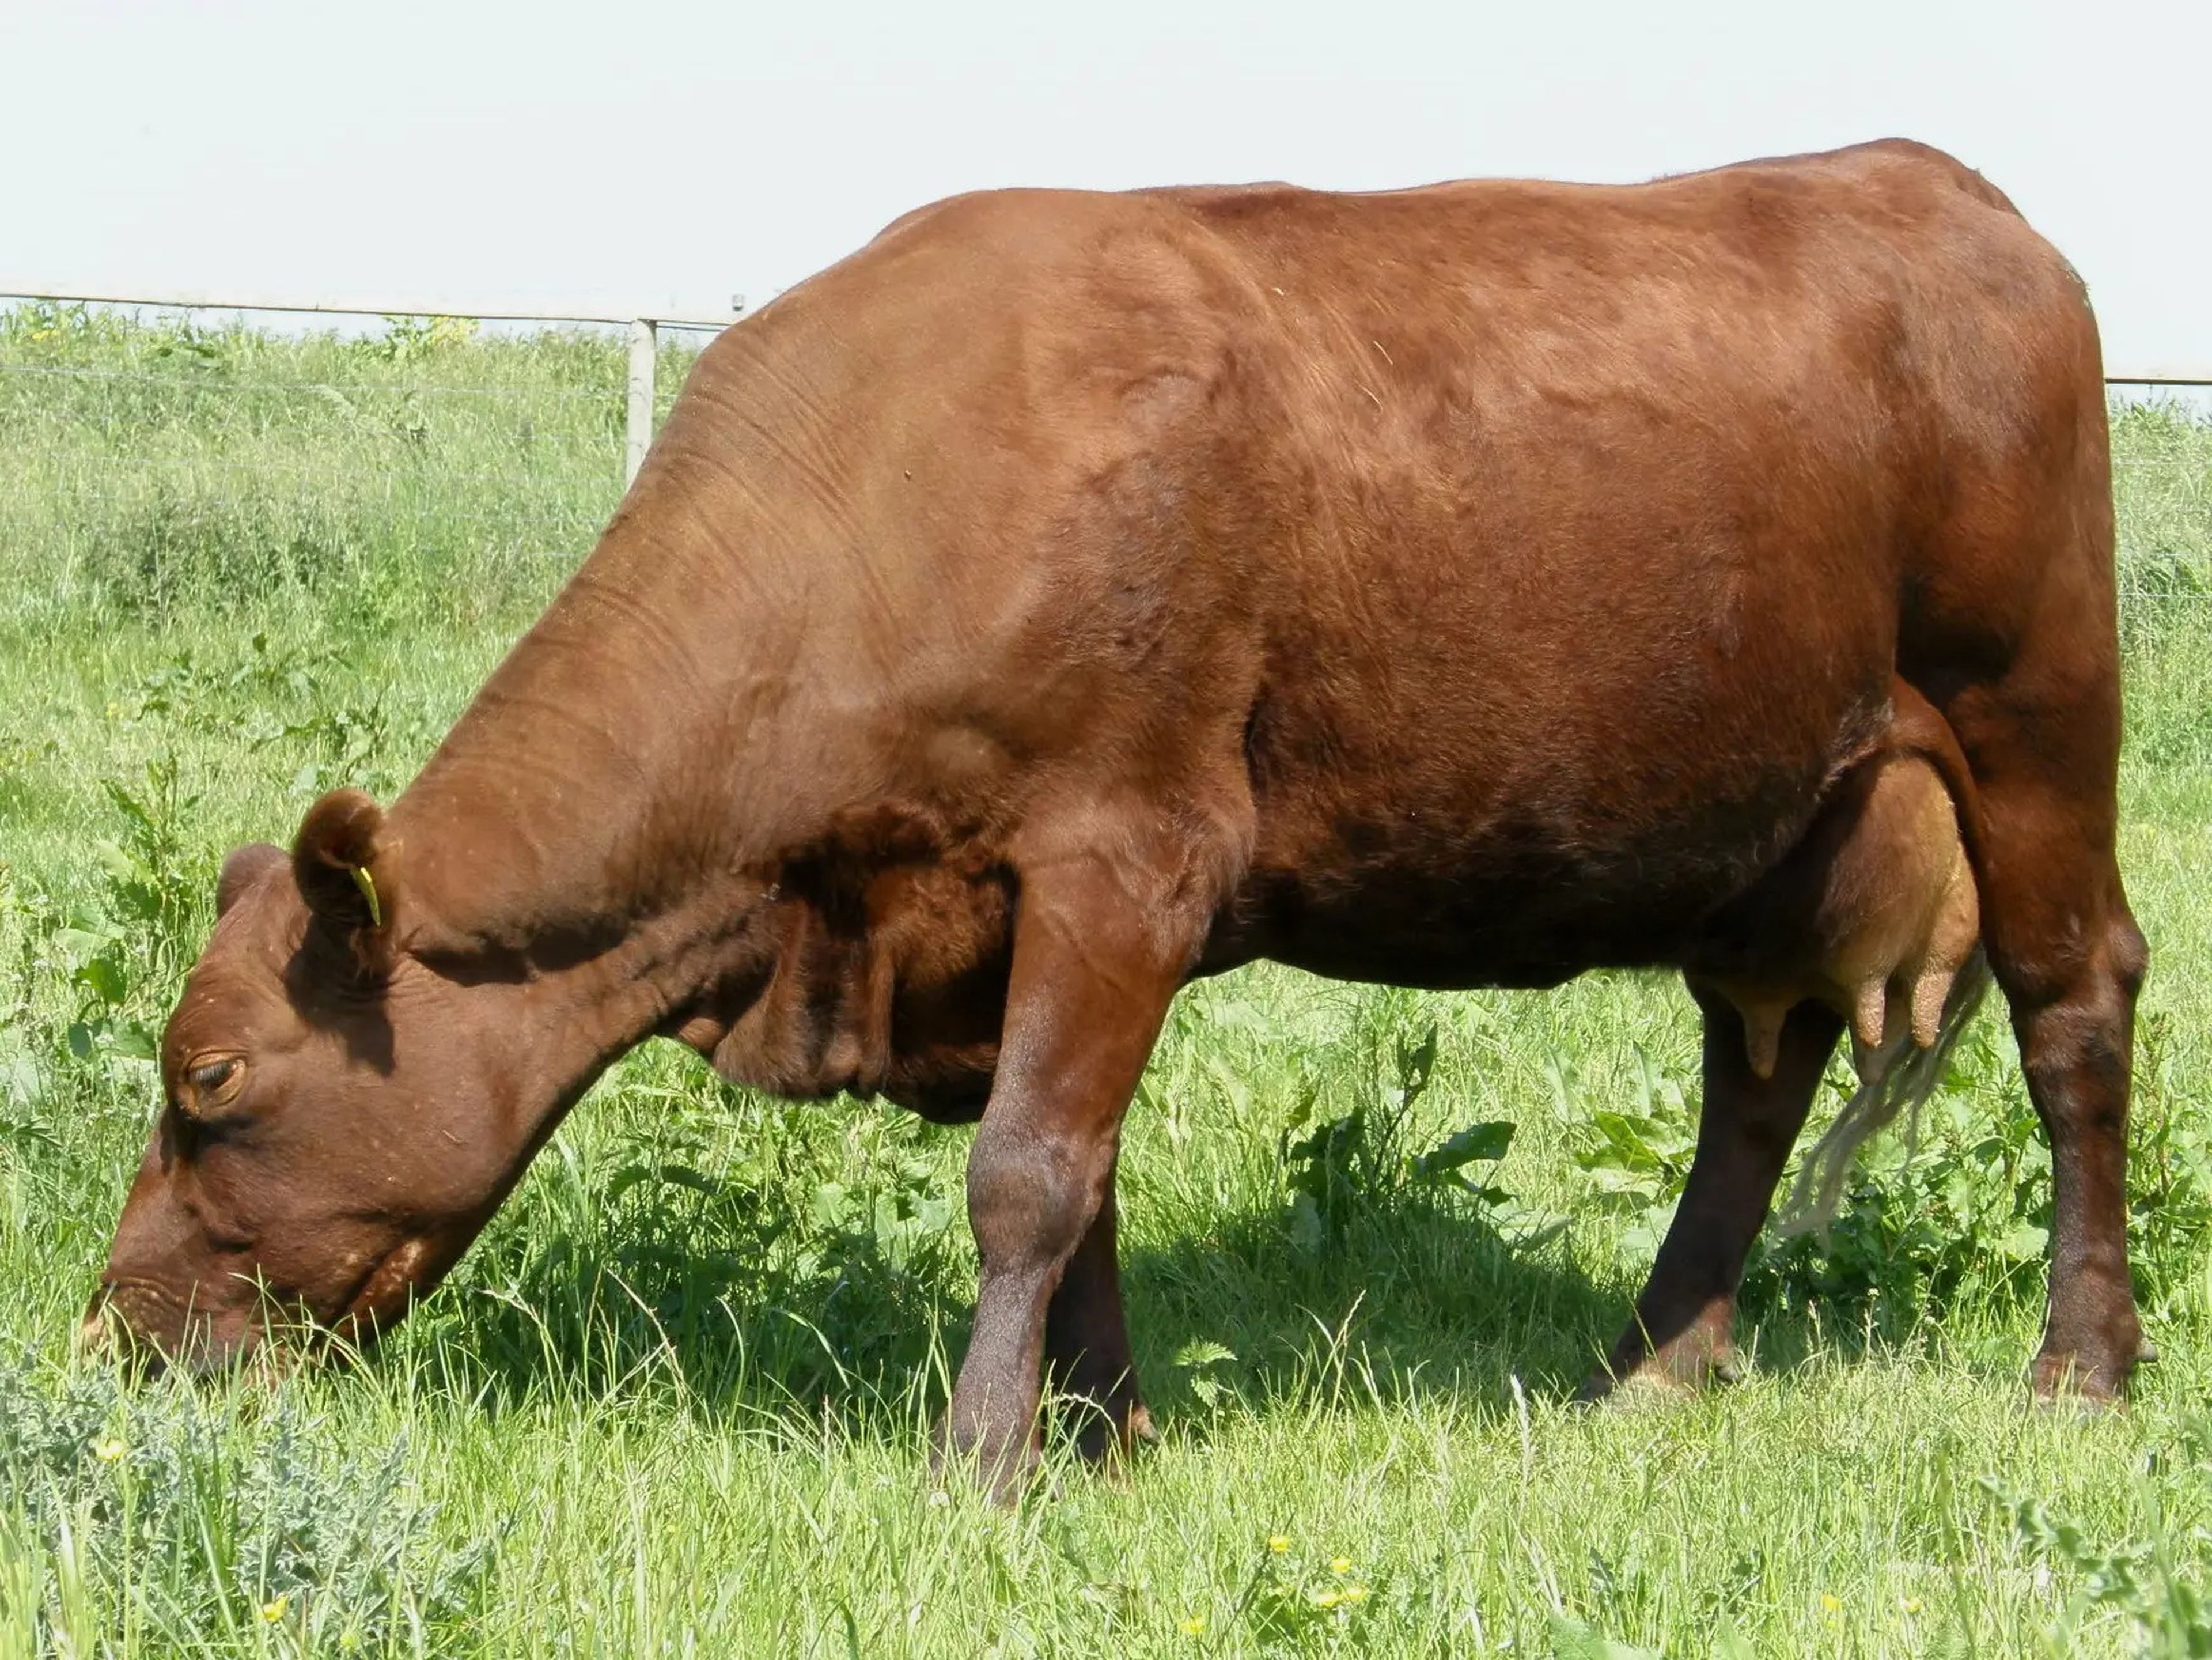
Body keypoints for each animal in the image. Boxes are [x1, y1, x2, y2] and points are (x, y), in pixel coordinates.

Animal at [86, 139, 2141, 1496]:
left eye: (211, 1080)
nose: (112, 1338)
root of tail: (1940, 187)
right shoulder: (1001, 920)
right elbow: (1082, 1184)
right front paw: (1103, 1435)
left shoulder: (1124, 854)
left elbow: (1024, 1172)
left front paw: (979, 1471)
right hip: (1774, 823)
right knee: (1757, 1066)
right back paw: (1654, 1365)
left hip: (2031, 715)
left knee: (2072, 1008)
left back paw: (2079, 1367)